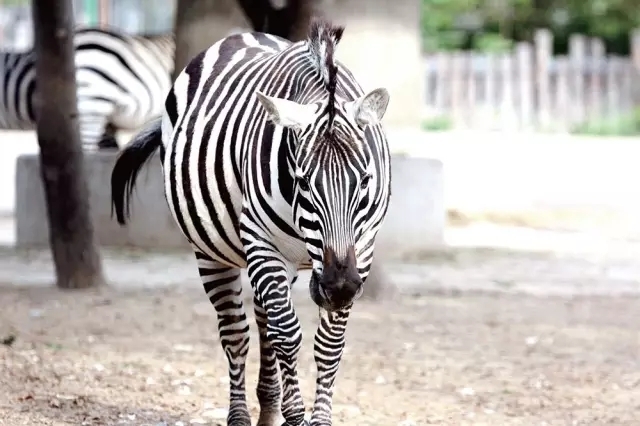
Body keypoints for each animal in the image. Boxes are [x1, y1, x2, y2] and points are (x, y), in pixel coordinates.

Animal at [110, 17, 390, 426]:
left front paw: (315, 416)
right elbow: (287, 333)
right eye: (303, 181)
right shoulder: (261, 241)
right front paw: (296, 414)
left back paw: (268, 408)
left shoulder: (363, 246)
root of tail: (245, 34)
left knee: (263, 323)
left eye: (366, 179)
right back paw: (242, 415)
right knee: (236, 332)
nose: (339, 288)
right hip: (215, 253)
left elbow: (329, 343)